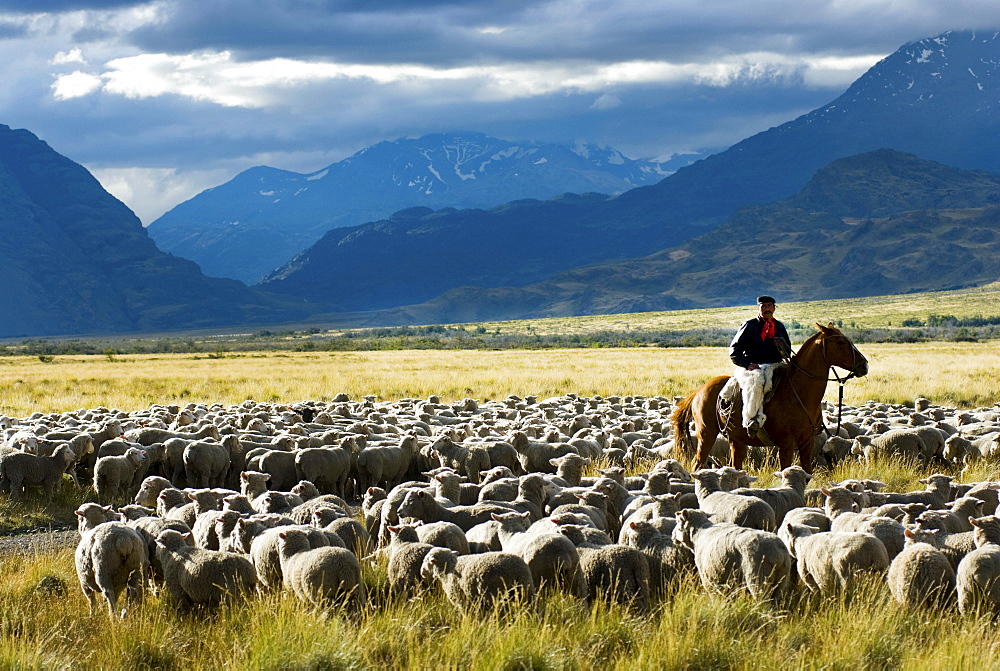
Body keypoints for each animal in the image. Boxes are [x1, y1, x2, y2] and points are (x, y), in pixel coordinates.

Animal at [672, 324, 868, 472]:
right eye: (840, 342)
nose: (864, 365)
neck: (799, 393)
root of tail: (699, 391)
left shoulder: (807, 443)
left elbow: (807, 473)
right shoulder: (786, 445)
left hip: (736, 441)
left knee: (735, 466)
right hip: (706, 434)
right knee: (697, 464)